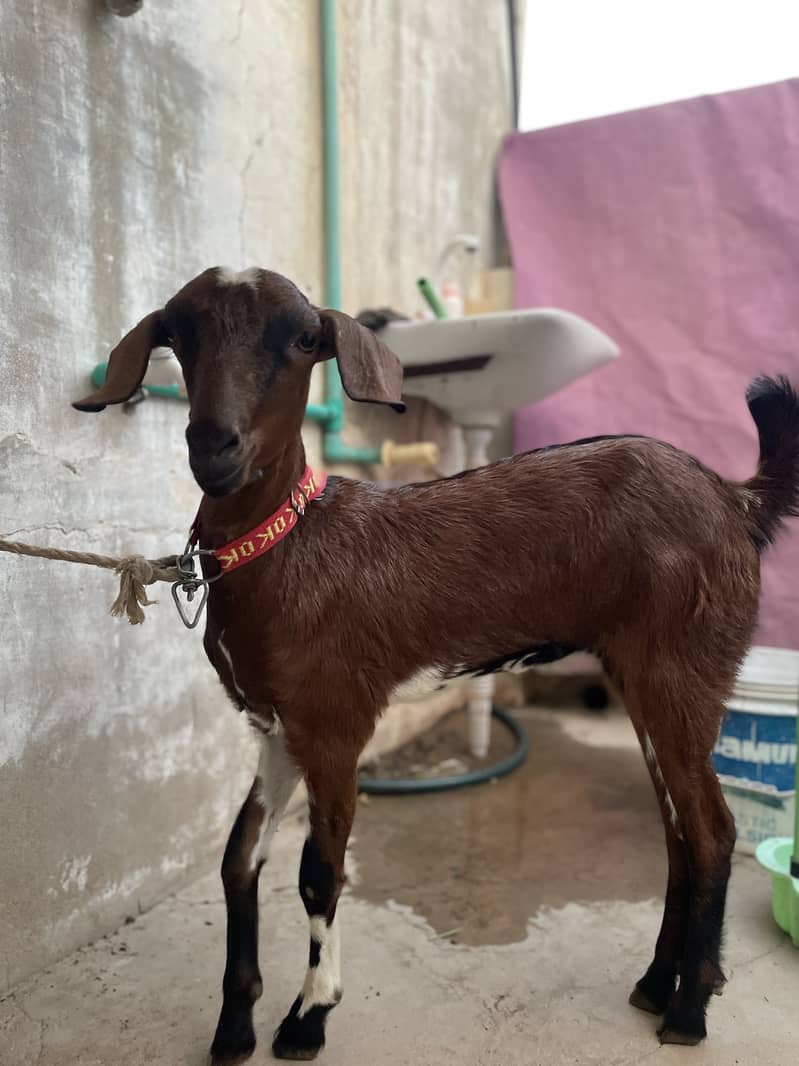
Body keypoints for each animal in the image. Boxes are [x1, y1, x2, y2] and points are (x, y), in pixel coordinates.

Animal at [74, 266, 799, 1062]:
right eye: (177, 332)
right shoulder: (275, 730)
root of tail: (736, 498)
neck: (287, 549)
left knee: (713, 831)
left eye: (303, 337)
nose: (213, 445)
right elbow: (240, 858)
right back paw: (654, 985)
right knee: (677, 834)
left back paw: (689, 1010)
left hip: (683, 669)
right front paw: (235, 1025)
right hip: (647, 677)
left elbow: (317, 873)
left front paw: (309, 1016)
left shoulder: (334, 724)